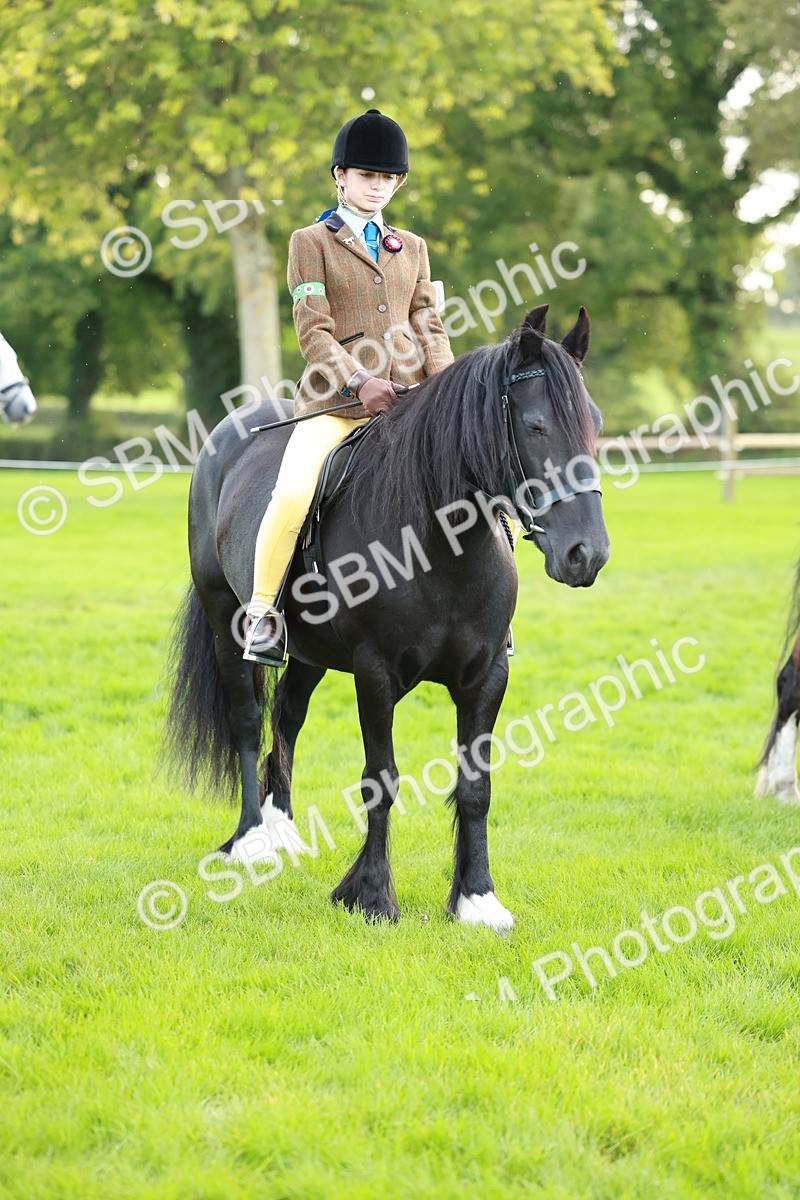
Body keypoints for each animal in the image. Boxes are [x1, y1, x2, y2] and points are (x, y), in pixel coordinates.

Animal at [164, 304, 610, 929]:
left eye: (594, 422)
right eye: (536, 425)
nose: (586, 554)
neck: (438, 544)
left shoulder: (487, 676)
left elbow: (476, 786)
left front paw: (477, 897)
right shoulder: (375, 674)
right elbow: (381, 779)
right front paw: (372, 894)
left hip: (310, 653)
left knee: (287, 716)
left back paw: (283, 832)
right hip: (226, 619)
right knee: (248, 719)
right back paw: (251, 840)